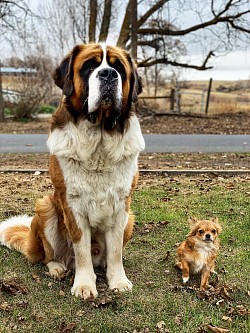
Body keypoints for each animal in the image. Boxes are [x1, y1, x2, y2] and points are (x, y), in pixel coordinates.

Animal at [0, 42, 145, 300]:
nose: (108, 74)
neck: (99, 137)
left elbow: (115, 250)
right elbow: (82, 249)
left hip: (130, 220)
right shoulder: (72, 204)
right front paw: (85, 284)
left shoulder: (122, 206)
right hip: (45, 207)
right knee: (48, 256)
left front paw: (118, 280)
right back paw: (57, 267)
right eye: (89, 66)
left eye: (119, 68)